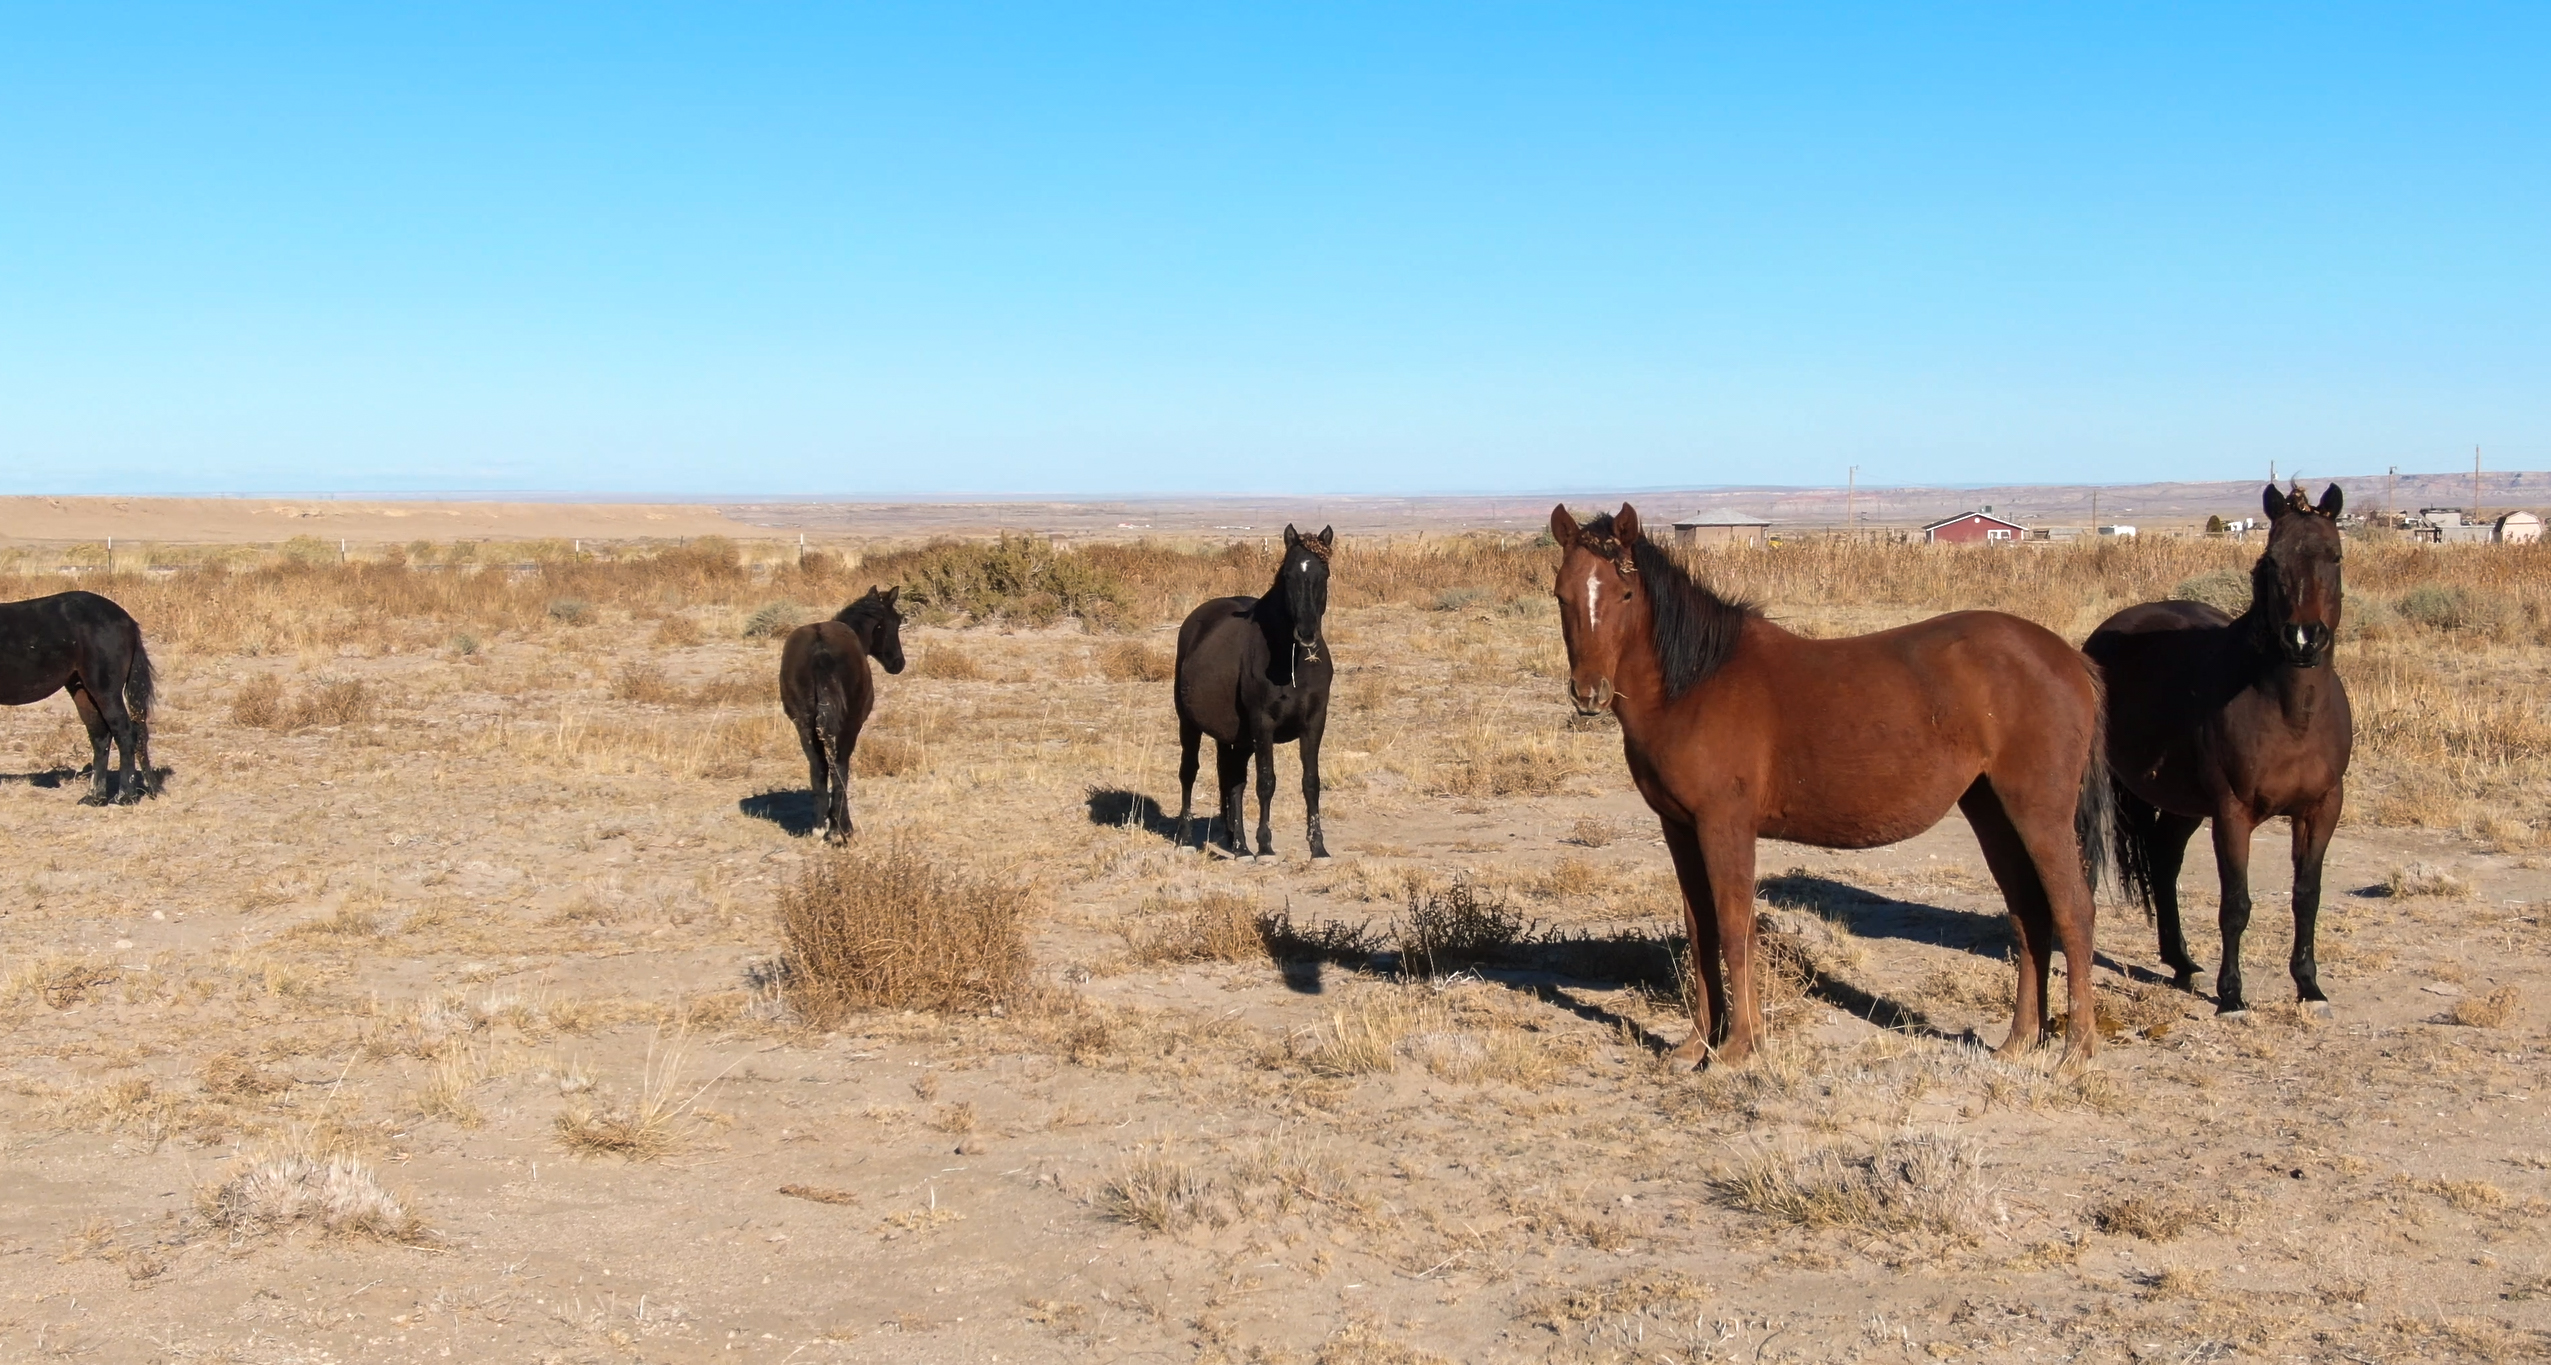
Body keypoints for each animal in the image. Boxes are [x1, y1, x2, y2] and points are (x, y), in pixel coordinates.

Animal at [0, 591, 158, 805]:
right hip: (82, 690)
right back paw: (94, 797)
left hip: (105, 690)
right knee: (100, 736)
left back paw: (125, 796)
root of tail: (127, 620)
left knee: (125, 733)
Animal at [778, 586, 907, 841]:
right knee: (839, 764)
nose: (899, 663)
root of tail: (819, 649)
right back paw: (842, 827)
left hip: (803, 724)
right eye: (895, 622)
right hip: (848, 724)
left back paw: (820, 826)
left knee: (818, 766)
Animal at [1173, 524, 1335, 860]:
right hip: (1189, 724)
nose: (1306, 633)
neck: (1290, 660)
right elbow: (1266, 781)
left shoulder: (1314, 722)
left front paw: (1318, 848)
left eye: (1323, 573)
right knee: (1189, 772)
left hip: (1235, 736)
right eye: (1288, 575)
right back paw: (1186, 838)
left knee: (1232, 780)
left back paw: (1239, 845)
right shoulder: (1263, 724)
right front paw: (1266, 847)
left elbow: (1311, 782)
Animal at [1550, 504, 2111, 1068]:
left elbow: (1734, 927)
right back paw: (2020, 1041)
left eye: (1625, 593)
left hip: (2039, 813)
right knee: (2028, 915)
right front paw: (1696, 1045)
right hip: (1993, 811)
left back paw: (2077, 1049)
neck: (1694, 684)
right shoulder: (1679, 828)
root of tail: (2069, 658)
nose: (1589, 692)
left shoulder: (1725, 825)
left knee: (2073, 911)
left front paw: (1739, 1046)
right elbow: (1699, 928)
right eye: (1562, 595)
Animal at [2087, 483, 2352, 1017]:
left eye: (2334, 555)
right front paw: (2231, 996)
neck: (2291, 712)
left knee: (2164, 860)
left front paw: (2309, 987)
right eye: (2272, 561)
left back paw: (2181, 962)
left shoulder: (2321, 808)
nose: (2304, 639)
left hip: (2183, 802)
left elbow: (2306, 896)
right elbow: (2236, 903)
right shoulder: (2232, 812)